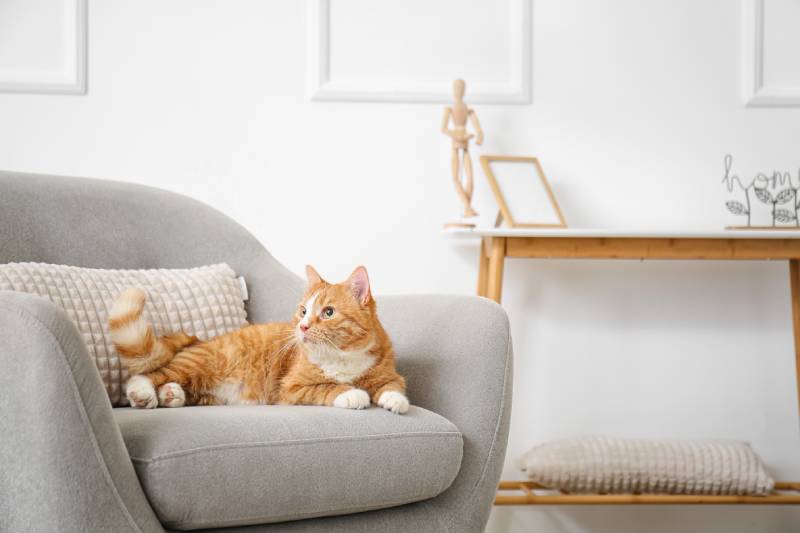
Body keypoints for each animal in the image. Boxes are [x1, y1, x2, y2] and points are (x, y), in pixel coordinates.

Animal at [109, 268, 410, 414]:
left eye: (328, 312)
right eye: (303, 311)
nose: (302, 326)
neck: (343, 355)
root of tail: (199, 339)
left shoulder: (388, 371)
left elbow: (393, 385)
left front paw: (395, 400)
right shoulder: (292, 388)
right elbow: (327, 387)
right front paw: (352, 393)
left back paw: (172, 395)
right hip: (201, 364)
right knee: (150, 374)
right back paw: (143, 393)